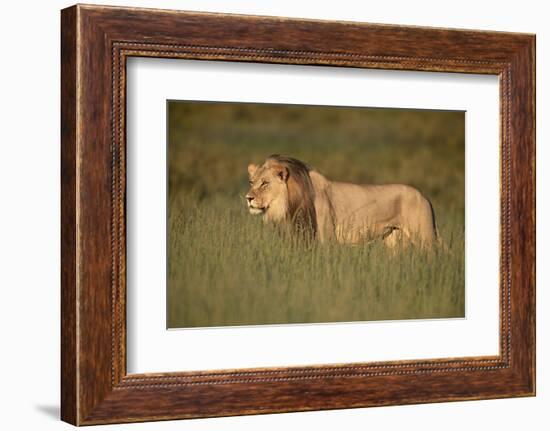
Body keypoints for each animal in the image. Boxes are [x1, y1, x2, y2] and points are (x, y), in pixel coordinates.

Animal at [246, 155, 440, 250]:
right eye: (252, 182)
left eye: (265, 183)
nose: (248, 198)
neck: (288, 204)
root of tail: (424, 196)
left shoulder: (326, 238)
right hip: (394, 240)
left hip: (425, 238)